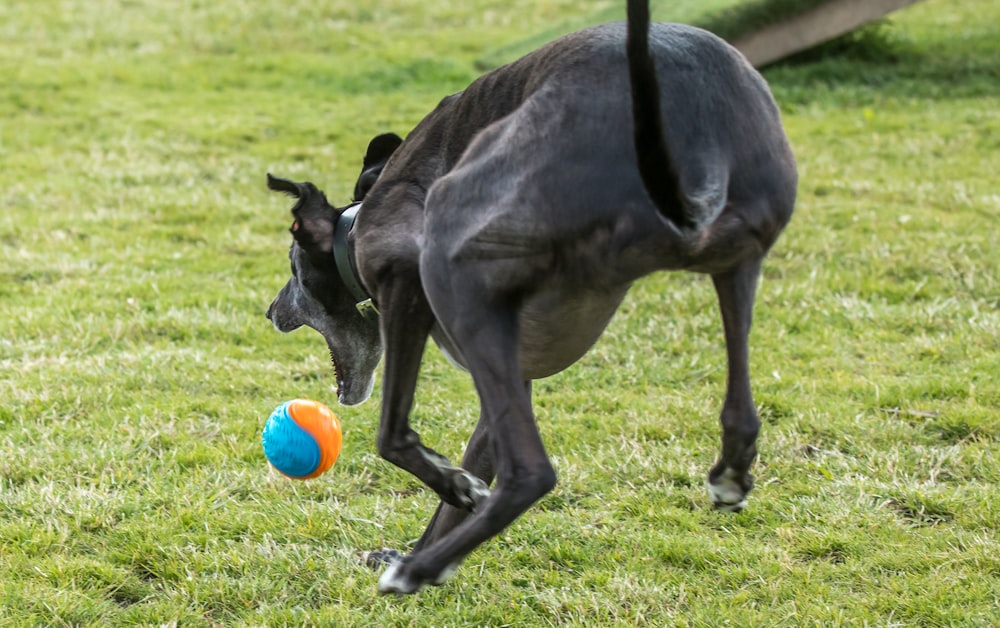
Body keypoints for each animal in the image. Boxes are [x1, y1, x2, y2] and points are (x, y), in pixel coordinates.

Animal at [266, 0, 796, 592]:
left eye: (293, 271)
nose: (271, 312)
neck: (356, 225)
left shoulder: (406, 286)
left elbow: (394, 435)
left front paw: (439, 520)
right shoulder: (507, 360)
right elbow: (468, 472)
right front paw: (440, 526)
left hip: (458, 265)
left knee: (530, 472)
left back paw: (416, 571)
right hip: (738, 258)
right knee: (742, 412)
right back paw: (732, 473)